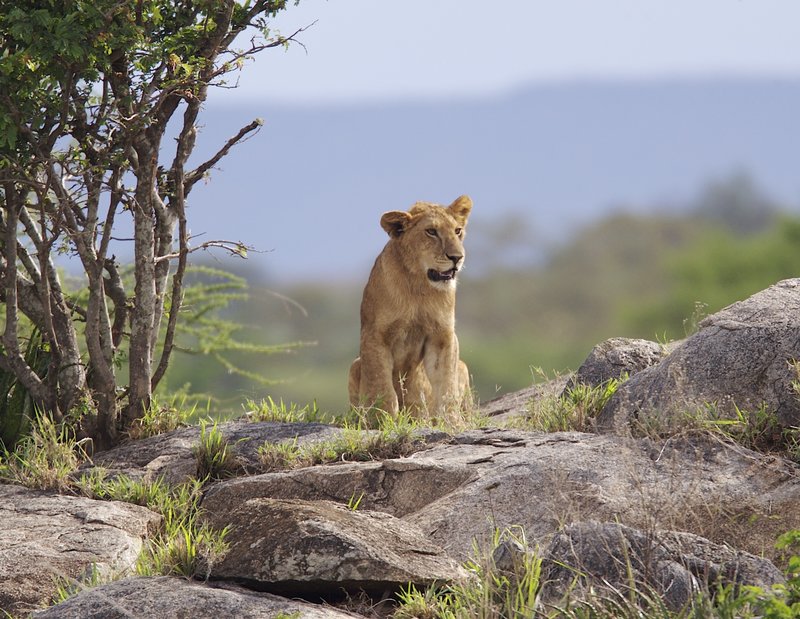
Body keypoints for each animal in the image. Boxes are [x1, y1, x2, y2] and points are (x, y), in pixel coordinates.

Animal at [348, 195, 473, 423]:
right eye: (431, 231)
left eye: (458, 230)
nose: (457, 258)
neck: (418, 285)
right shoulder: (375, 334)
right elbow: (381, 384)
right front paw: (383, 420)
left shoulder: (442, 336)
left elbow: (446, 384)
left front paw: (452, 422)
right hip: (355, 364)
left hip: (463, 366)